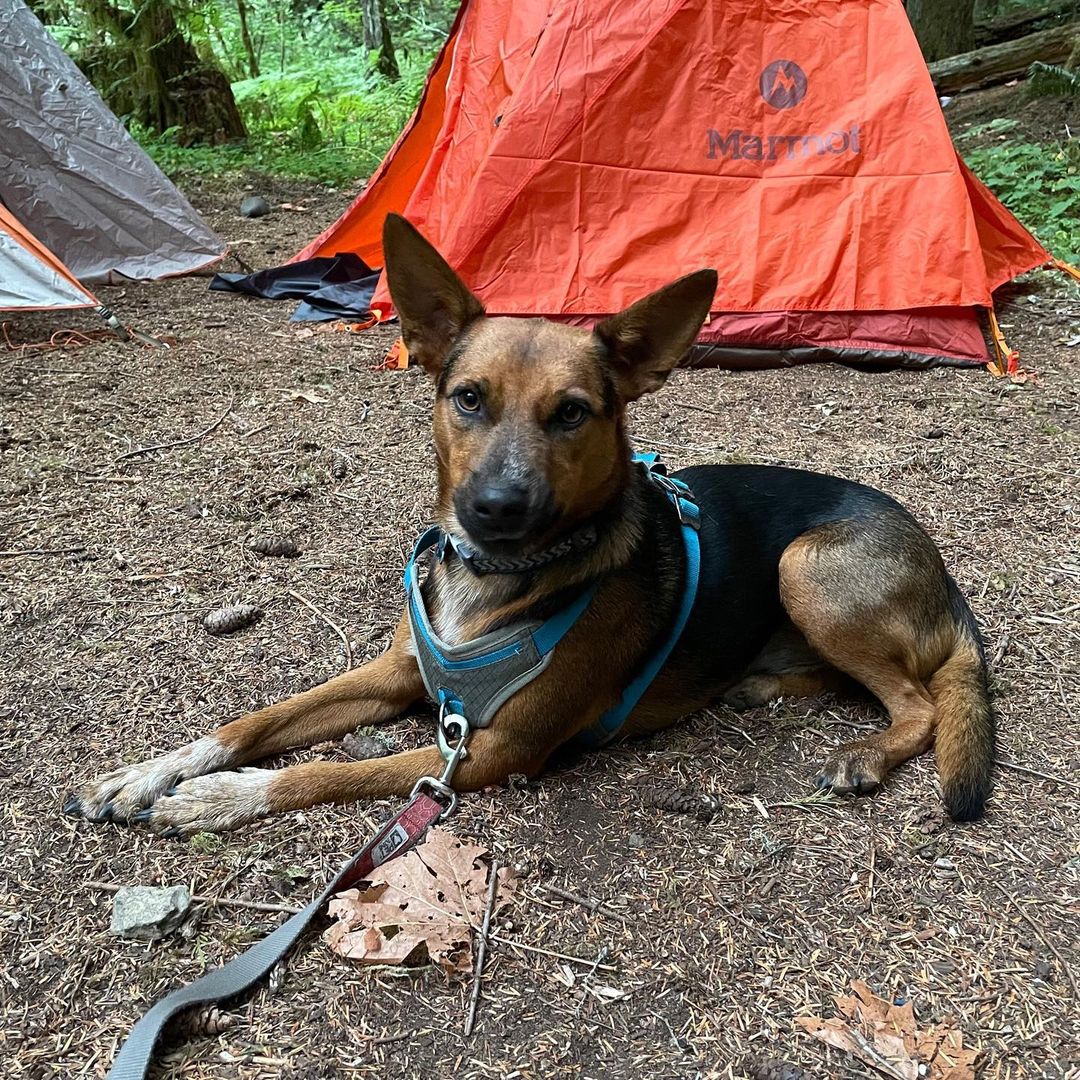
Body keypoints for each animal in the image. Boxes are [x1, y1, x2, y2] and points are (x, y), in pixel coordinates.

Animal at [65, 212, 993, 833]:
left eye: (572, 413)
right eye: (469, 399)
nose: (495, 509)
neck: (492, 582)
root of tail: (940, 568)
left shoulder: (496, 747)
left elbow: (326, 771)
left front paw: (228, 797)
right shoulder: (398, 675)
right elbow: (254, 721)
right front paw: (150, 772)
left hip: (805, 565)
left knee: (914, 702)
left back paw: (865, 751)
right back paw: (762, 683)